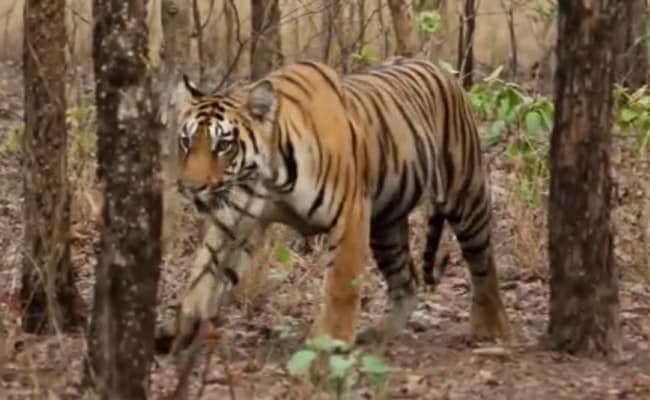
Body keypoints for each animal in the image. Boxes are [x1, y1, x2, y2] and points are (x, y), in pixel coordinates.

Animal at [158, 57, 511, 354]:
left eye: (223, 145)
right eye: (186, 141)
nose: (190, 188)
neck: (268, 177)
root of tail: (442, 69)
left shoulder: (350, 213)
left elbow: (342, 283)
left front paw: (332, 340)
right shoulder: (234, 220)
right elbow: (204, 271)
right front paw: (181, 328)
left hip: (465, 195)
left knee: (482, 261)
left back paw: (491, 327)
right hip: (386, 225)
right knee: (406, 281)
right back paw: (382, 333)